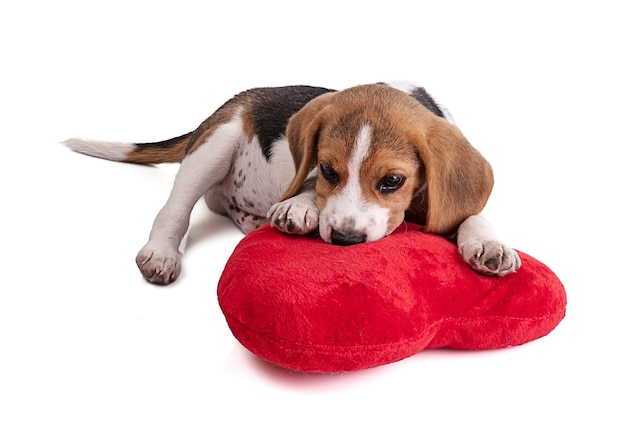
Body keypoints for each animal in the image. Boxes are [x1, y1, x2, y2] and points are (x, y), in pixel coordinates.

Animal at [66, 81, 520, 284]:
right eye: (329, 171)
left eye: (393, 180)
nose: (344, 239)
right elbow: (307, 188)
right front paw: (299, 206)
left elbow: (473, 216)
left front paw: (489, 244)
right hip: (216, 144)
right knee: (174, 210)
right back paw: (161, 253)